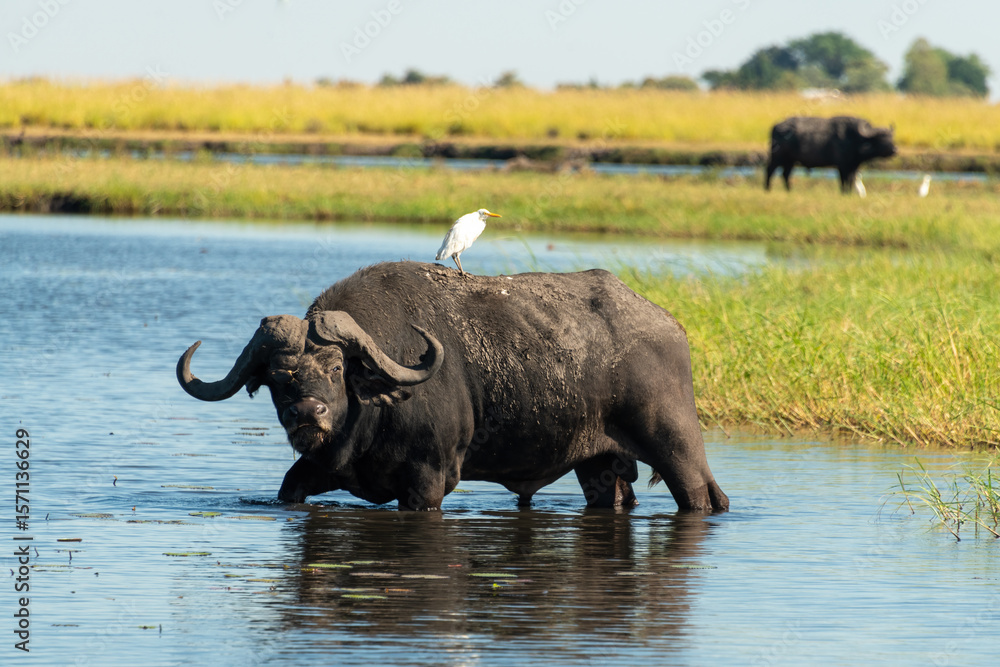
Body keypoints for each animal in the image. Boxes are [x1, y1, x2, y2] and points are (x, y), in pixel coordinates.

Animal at [176, 261, 729, 512]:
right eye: (276, 378)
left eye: (335, 368)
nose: (308, 415)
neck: (372, 413)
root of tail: (668, 325)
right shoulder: (314, 473)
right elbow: (291, 486)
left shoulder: (428, 483)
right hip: (598, 466)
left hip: (678, 449)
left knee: (707, 497)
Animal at [765, 115, 896, 193]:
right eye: (881, 138)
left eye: (891, 137)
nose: (895, 150)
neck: (854, 139)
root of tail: (776, 126)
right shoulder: (842, 166)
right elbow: (843, 179)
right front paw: (844, 192)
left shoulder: (853, 166)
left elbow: (851, 179)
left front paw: (849, 192)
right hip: (777, 157)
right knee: (770, 170)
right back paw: (767, 189)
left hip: (790, 160)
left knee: (785, 174)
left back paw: (789, 190)